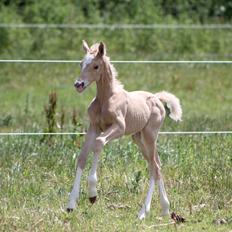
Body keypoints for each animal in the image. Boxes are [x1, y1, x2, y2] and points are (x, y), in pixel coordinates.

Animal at [66, 40, 182, 219]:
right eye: (81, 63)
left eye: (96, 66)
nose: (79, 84)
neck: (106, 99)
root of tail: (157, 97)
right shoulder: (93, 127)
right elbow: (82, 157)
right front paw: (71, 203)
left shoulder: (119, 128)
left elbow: (99, 143)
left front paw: (92, 195)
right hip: (138, 138)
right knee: (155, 166)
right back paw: (163, 209)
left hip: (150, 135)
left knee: (155, 167)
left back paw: (144, 212)